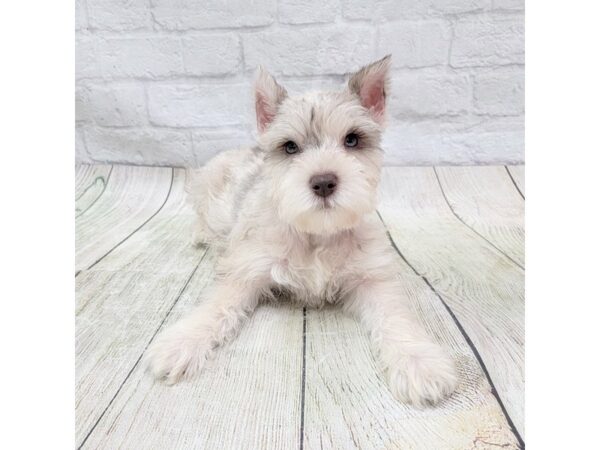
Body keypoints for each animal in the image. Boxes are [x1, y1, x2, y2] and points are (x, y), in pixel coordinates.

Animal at [148, 57, 458, 408]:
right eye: (290, 147)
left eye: (352, 140)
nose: (323, 182)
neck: (317, 234)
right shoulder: (247, 270)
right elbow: (217, 305)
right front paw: (182, 341)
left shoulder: (371, 279)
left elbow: (395, 316)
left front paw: (418, 361)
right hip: (210, 193)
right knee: (204, 216)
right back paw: (202, 234)